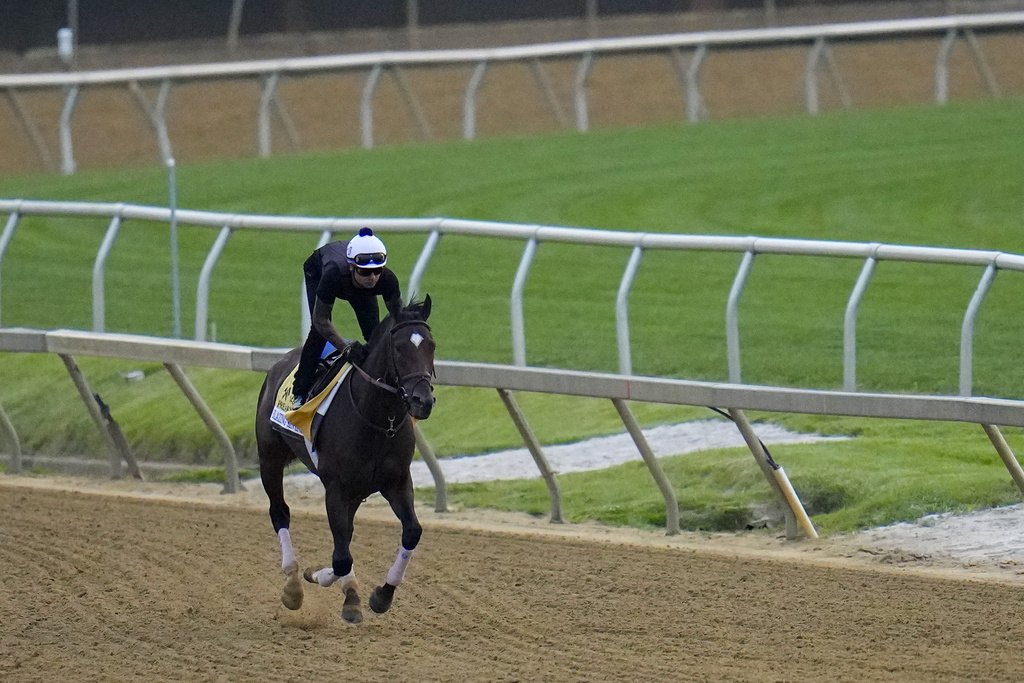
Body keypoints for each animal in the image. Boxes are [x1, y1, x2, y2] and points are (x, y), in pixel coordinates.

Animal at [256, 296, 436, 622]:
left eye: (431, 345)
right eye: (399, 348)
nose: (422, 401)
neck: (379, 418)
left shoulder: (396, 481)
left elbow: (411, 532)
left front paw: (382, 595)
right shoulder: (336, 488)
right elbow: (340, 557)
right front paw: (316, 577)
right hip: (269, 458)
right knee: (280, 513)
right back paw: (293, 584)